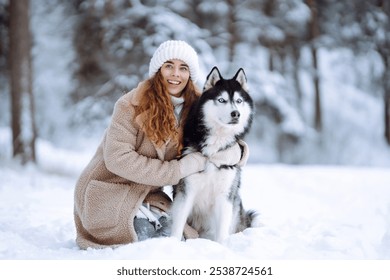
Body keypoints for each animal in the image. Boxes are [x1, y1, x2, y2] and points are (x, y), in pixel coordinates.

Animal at [171, 66, 258, 243]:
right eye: (222, 100)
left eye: (239, 101)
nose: (235, 114)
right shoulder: (186, 192)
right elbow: (178, 225)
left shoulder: (225, 195)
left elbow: (222, 231)